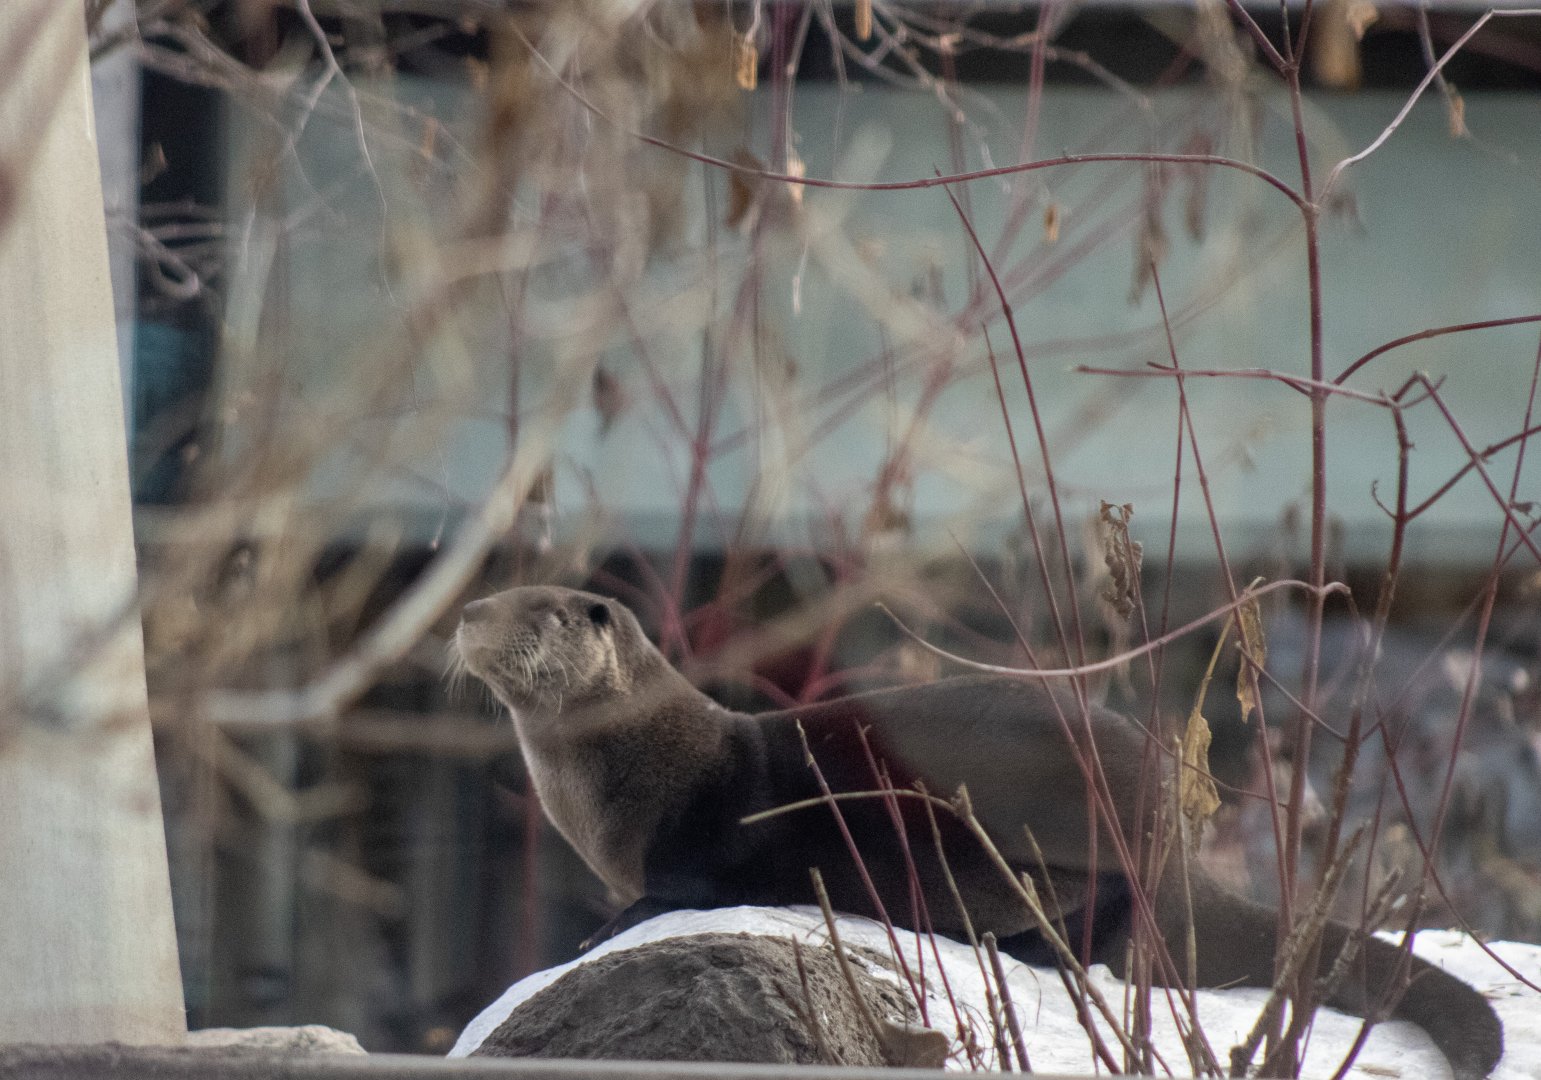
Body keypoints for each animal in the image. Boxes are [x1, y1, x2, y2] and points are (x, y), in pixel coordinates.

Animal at [454, 585, 1503, 1079]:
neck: (632, 773)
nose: (465, 610)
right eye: (496, 597)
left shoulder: (707, 827)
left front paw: (602, 926)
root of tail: (1167, 832)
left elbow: (683, 886)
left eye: (543, 612)